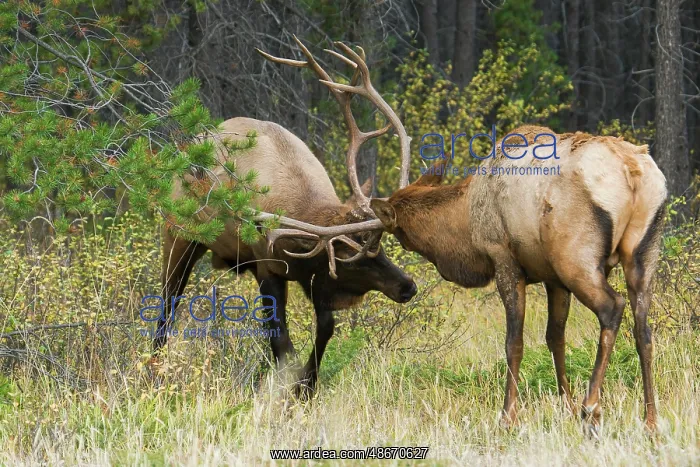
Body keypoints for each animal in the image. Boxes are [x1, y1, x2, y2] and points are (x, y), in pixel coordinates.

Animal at [154, 37, 417, 398]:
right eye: (350, 259)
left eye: (382, 248)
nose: (408, 286)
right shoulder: (268, 265)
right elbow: (283, 343)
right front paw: (289, 389)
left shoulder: (314, 278)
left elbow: (324, 330)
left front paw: (307, 387)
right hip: (179, 236)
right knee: (166, 307)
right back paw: (153, 373)